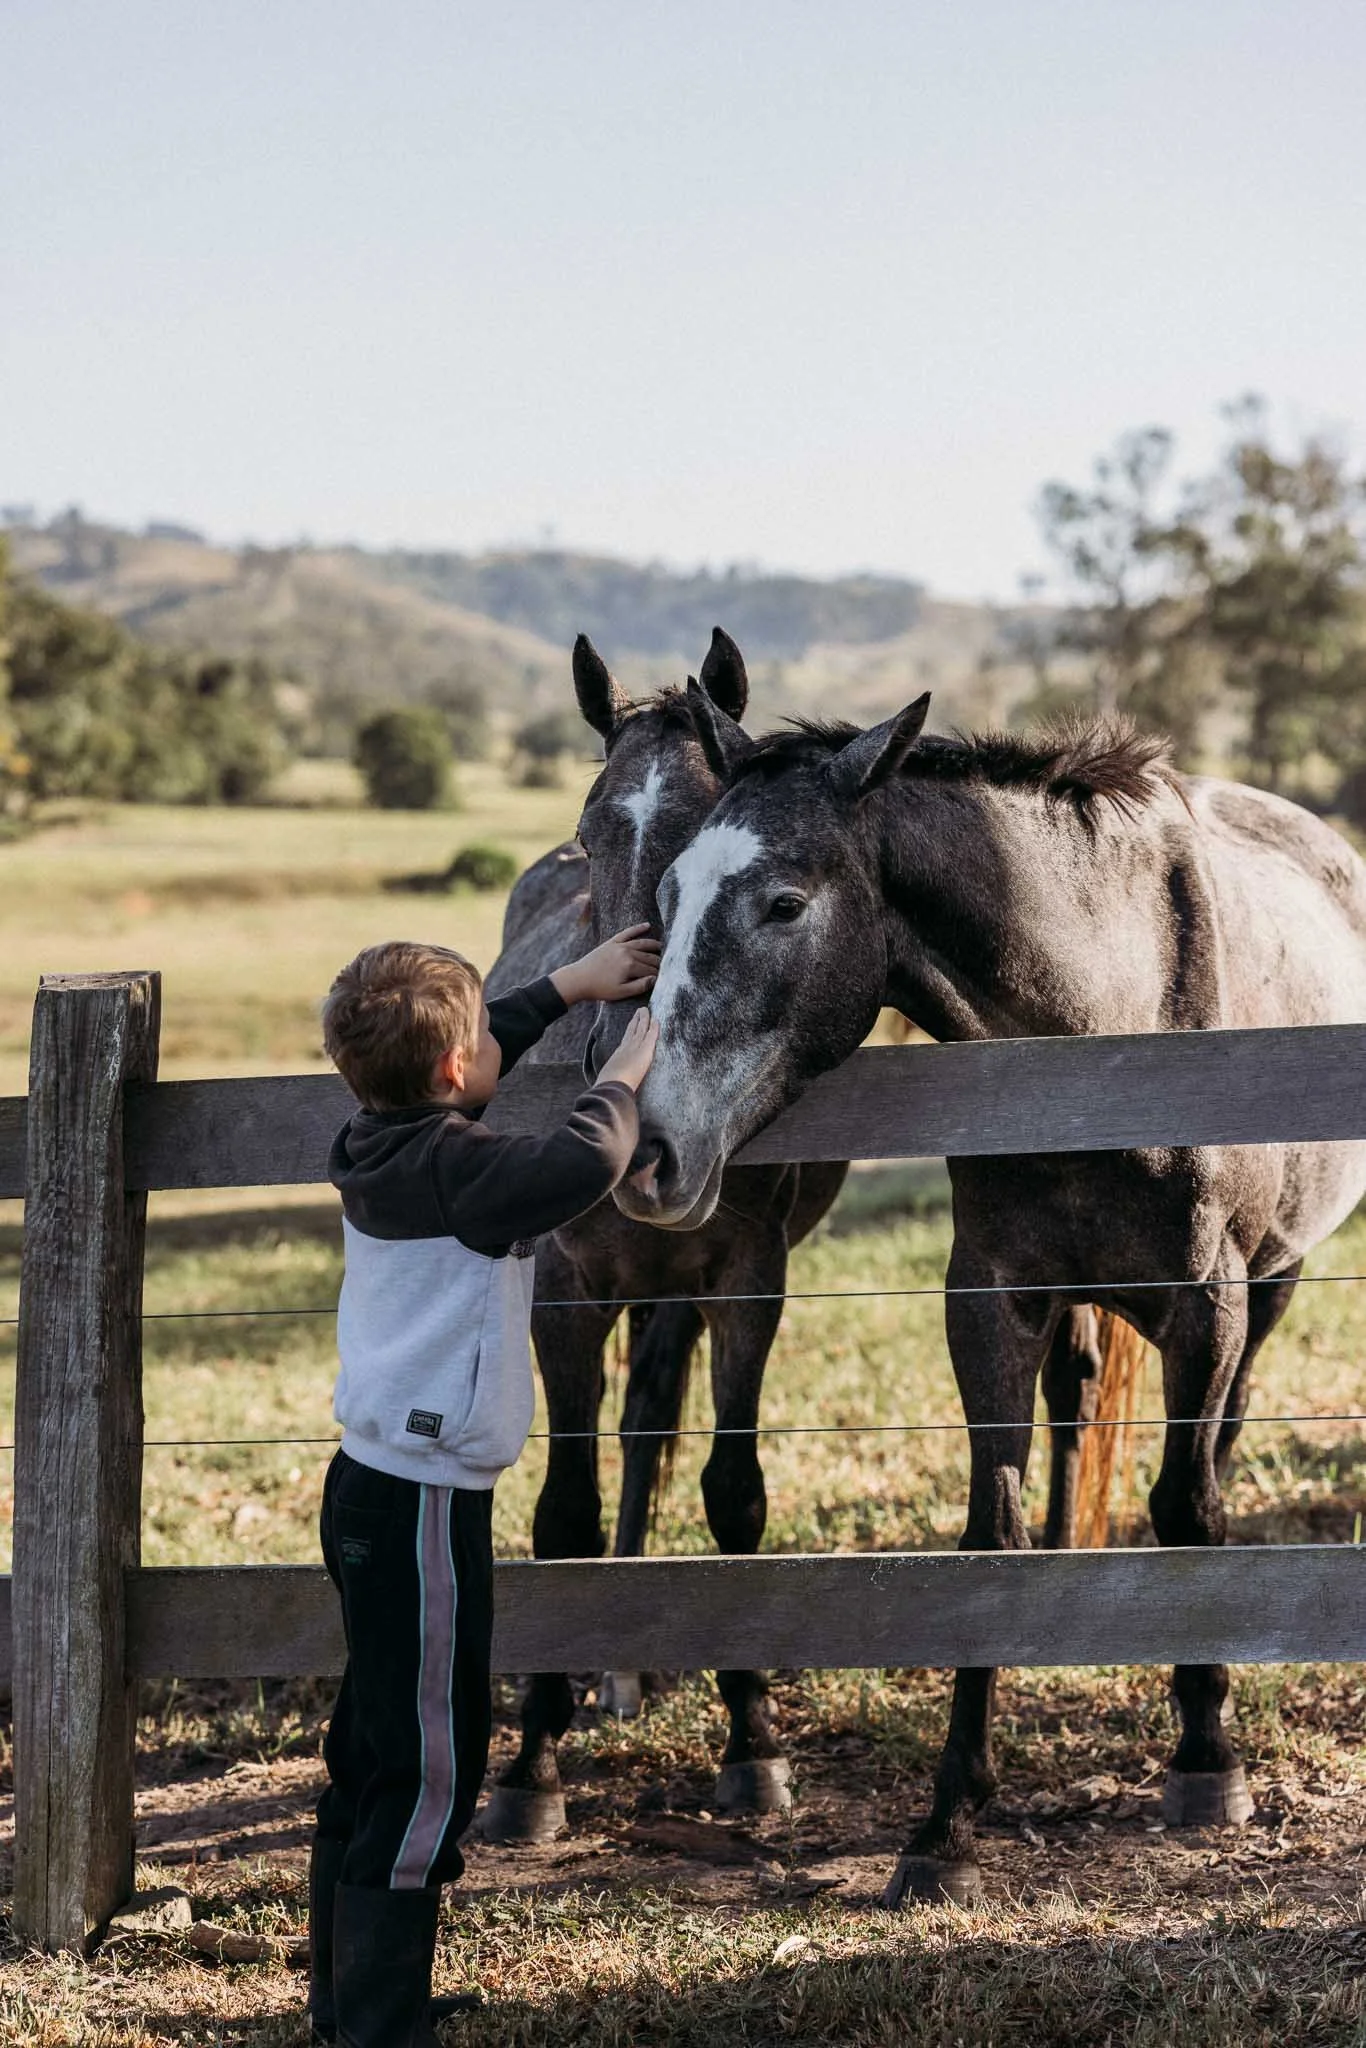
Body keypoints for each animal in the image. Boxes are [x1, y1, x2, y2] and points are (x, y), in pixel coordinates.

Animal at [478, 629, 848, 1842]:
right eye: (594, 825)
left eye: (699, 829)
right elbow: (563, 1512)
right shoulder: (564, 1288)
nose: (617, 1043)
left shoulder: (743, 1281)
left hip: (675, 1291)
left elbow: (733, 1495)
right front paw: (530, 1765)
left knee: (648, 1428)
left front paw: (754, 1741)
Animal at [615, 687, 1366, 1906]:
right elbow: (992, 1534)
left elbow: (1186, 1506)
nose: (648, 1155)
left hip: (1275, 1280)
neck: (1109, 1018)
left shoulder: (1205, 1305)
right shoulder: (990, 1301)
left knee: (1219, 1439)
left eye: (784, 902)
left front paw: (1207, 1759)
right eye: (671, 894)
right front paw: (949, 1817)